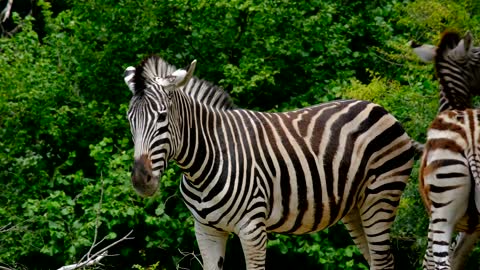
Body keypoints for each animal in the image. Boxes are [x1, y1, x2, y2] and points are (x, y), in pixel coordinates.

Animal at [125, 55, 414, 270]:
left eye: (162, 116)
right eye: (130, 119)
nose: (141, 179)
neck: (206, 160)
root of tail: (377, 107)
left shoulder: (252, 228)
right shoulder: (206, 230)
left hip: (380, 197)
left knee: (383, 260)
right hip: (355, 207)